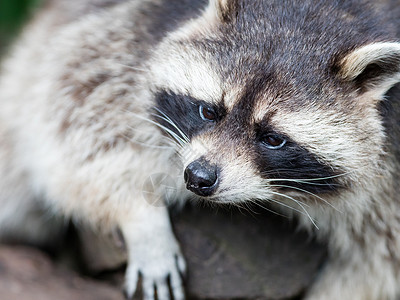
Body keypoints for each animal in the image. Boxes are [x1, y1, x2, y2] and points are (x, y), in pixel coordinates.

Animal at [0, 0, 400, 298]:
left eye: (272, 138)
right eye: (208, 111)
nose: (198, 177)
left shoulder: (391, 170)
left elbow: (375, 266)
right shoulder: (128, 31)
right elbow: (74, 116)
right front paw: (142, 218)